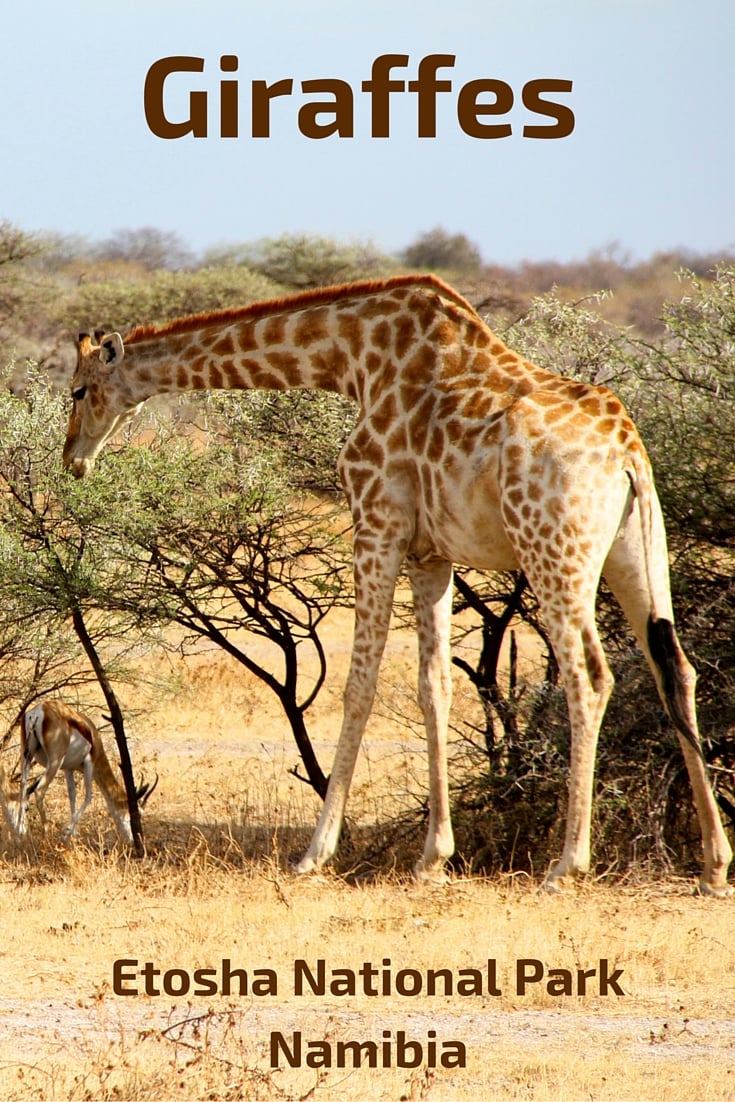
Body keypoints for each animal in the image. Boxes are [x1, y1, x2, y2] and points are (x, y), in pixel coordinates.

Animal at [63, 275, 735, 894]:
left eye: (77, 390)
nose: (73, 458)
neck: (352, 358)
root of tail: (628, 456)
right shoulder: (430, 554)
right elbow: (433, 687)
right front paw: (433, 858)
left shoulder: (376, 520)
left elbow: (358, 686)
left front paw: (316, 852)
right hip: (637, 553)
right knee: (675, 668)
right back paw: (714, 865)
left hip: (553, 549)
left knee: (590, 678)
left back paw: (566, 864)